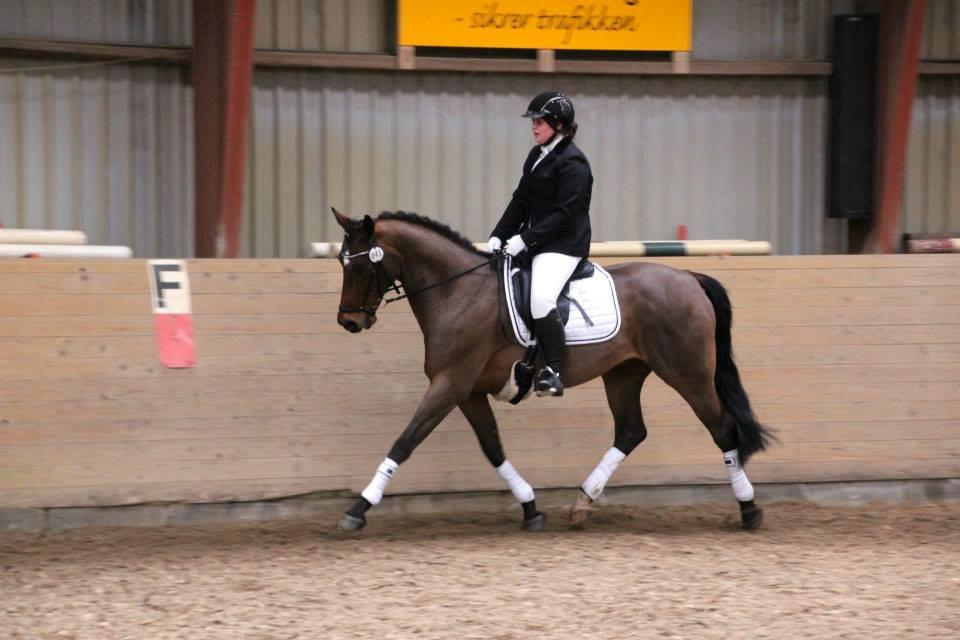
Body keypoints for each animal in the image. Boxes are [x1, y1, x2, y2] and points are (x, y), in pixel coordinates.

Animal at [330, 209, 772, 528]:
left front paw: (358, 508)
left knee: (722, 429)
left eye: (360, 267)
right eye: (341, 262)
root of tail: (688, 277)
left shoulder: (449, 383)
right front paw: (530, 507)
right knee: (631, 431)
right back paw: (581, 503)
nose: (348, 322)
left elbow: (405, 442)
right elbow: (492, 448)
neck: (457, 291)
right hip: (624, 373)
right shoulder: (468, 390)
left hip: (688, 373)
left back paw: (749, 509)